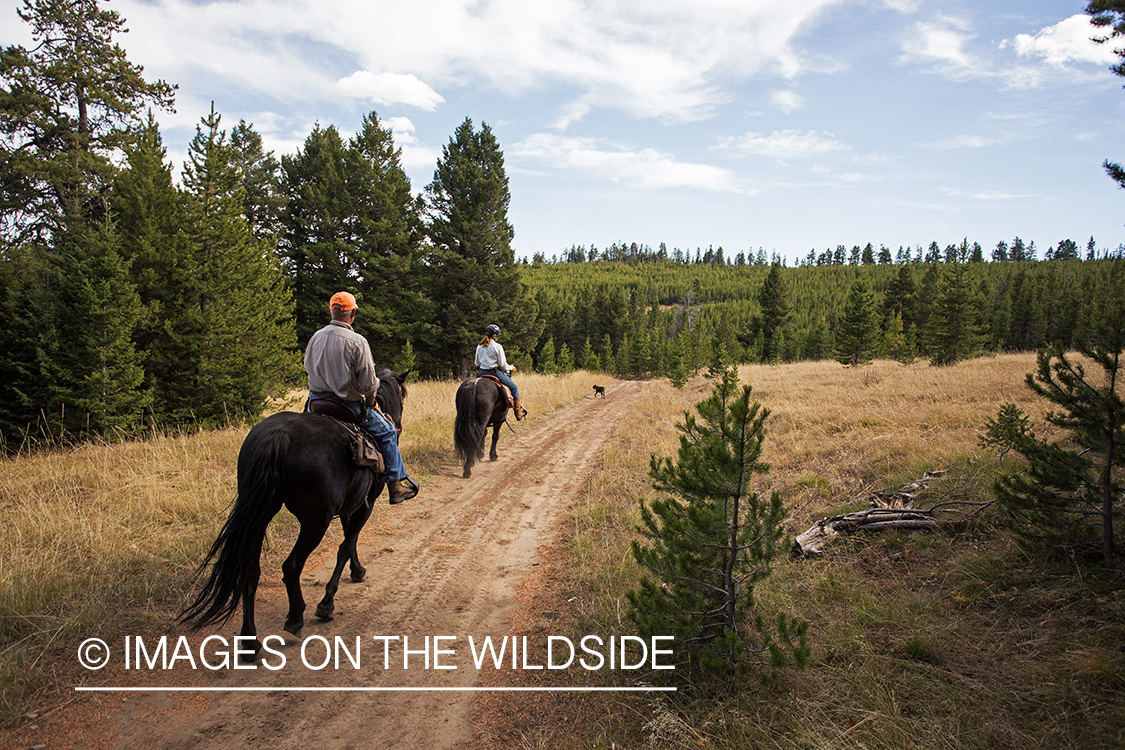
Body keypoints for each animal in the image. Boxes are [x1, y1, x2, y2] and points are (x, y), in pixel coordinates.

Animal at [180, 373, 414, 652]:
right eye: (402, 395)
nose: (397, 424)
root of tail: (277, 437)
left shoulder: (351, 503)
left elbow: (350, 539)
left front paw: (357, 571)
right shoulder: (367, 502)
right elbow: (346, 544)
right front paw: (327, 603)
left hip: (259, 515)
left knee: (250, 570)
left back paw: (250, 641)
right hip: (315, 521)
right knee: (292, 565)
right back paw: (295, 618)